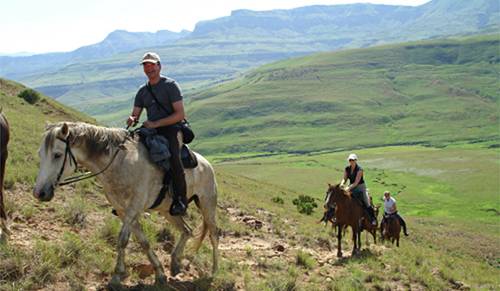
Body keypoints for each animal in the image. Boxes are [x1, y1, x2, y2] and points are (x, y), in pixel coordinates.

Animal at [33, 122, 217, 288]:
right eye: (40, 154)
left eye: (57, 155)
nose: (39, 193)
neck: (120, 163)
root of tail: (206, 163)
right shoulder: (123, 211)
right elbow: (143, 241)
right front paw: (159, 273)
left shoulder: (134, 208)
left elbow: (122, 240)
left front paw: (116, 277)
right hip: (168, 211)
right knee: (187, 230)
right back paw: (175, 263)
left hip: (207, 204)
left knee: (213, 235)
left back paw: (214, 270)